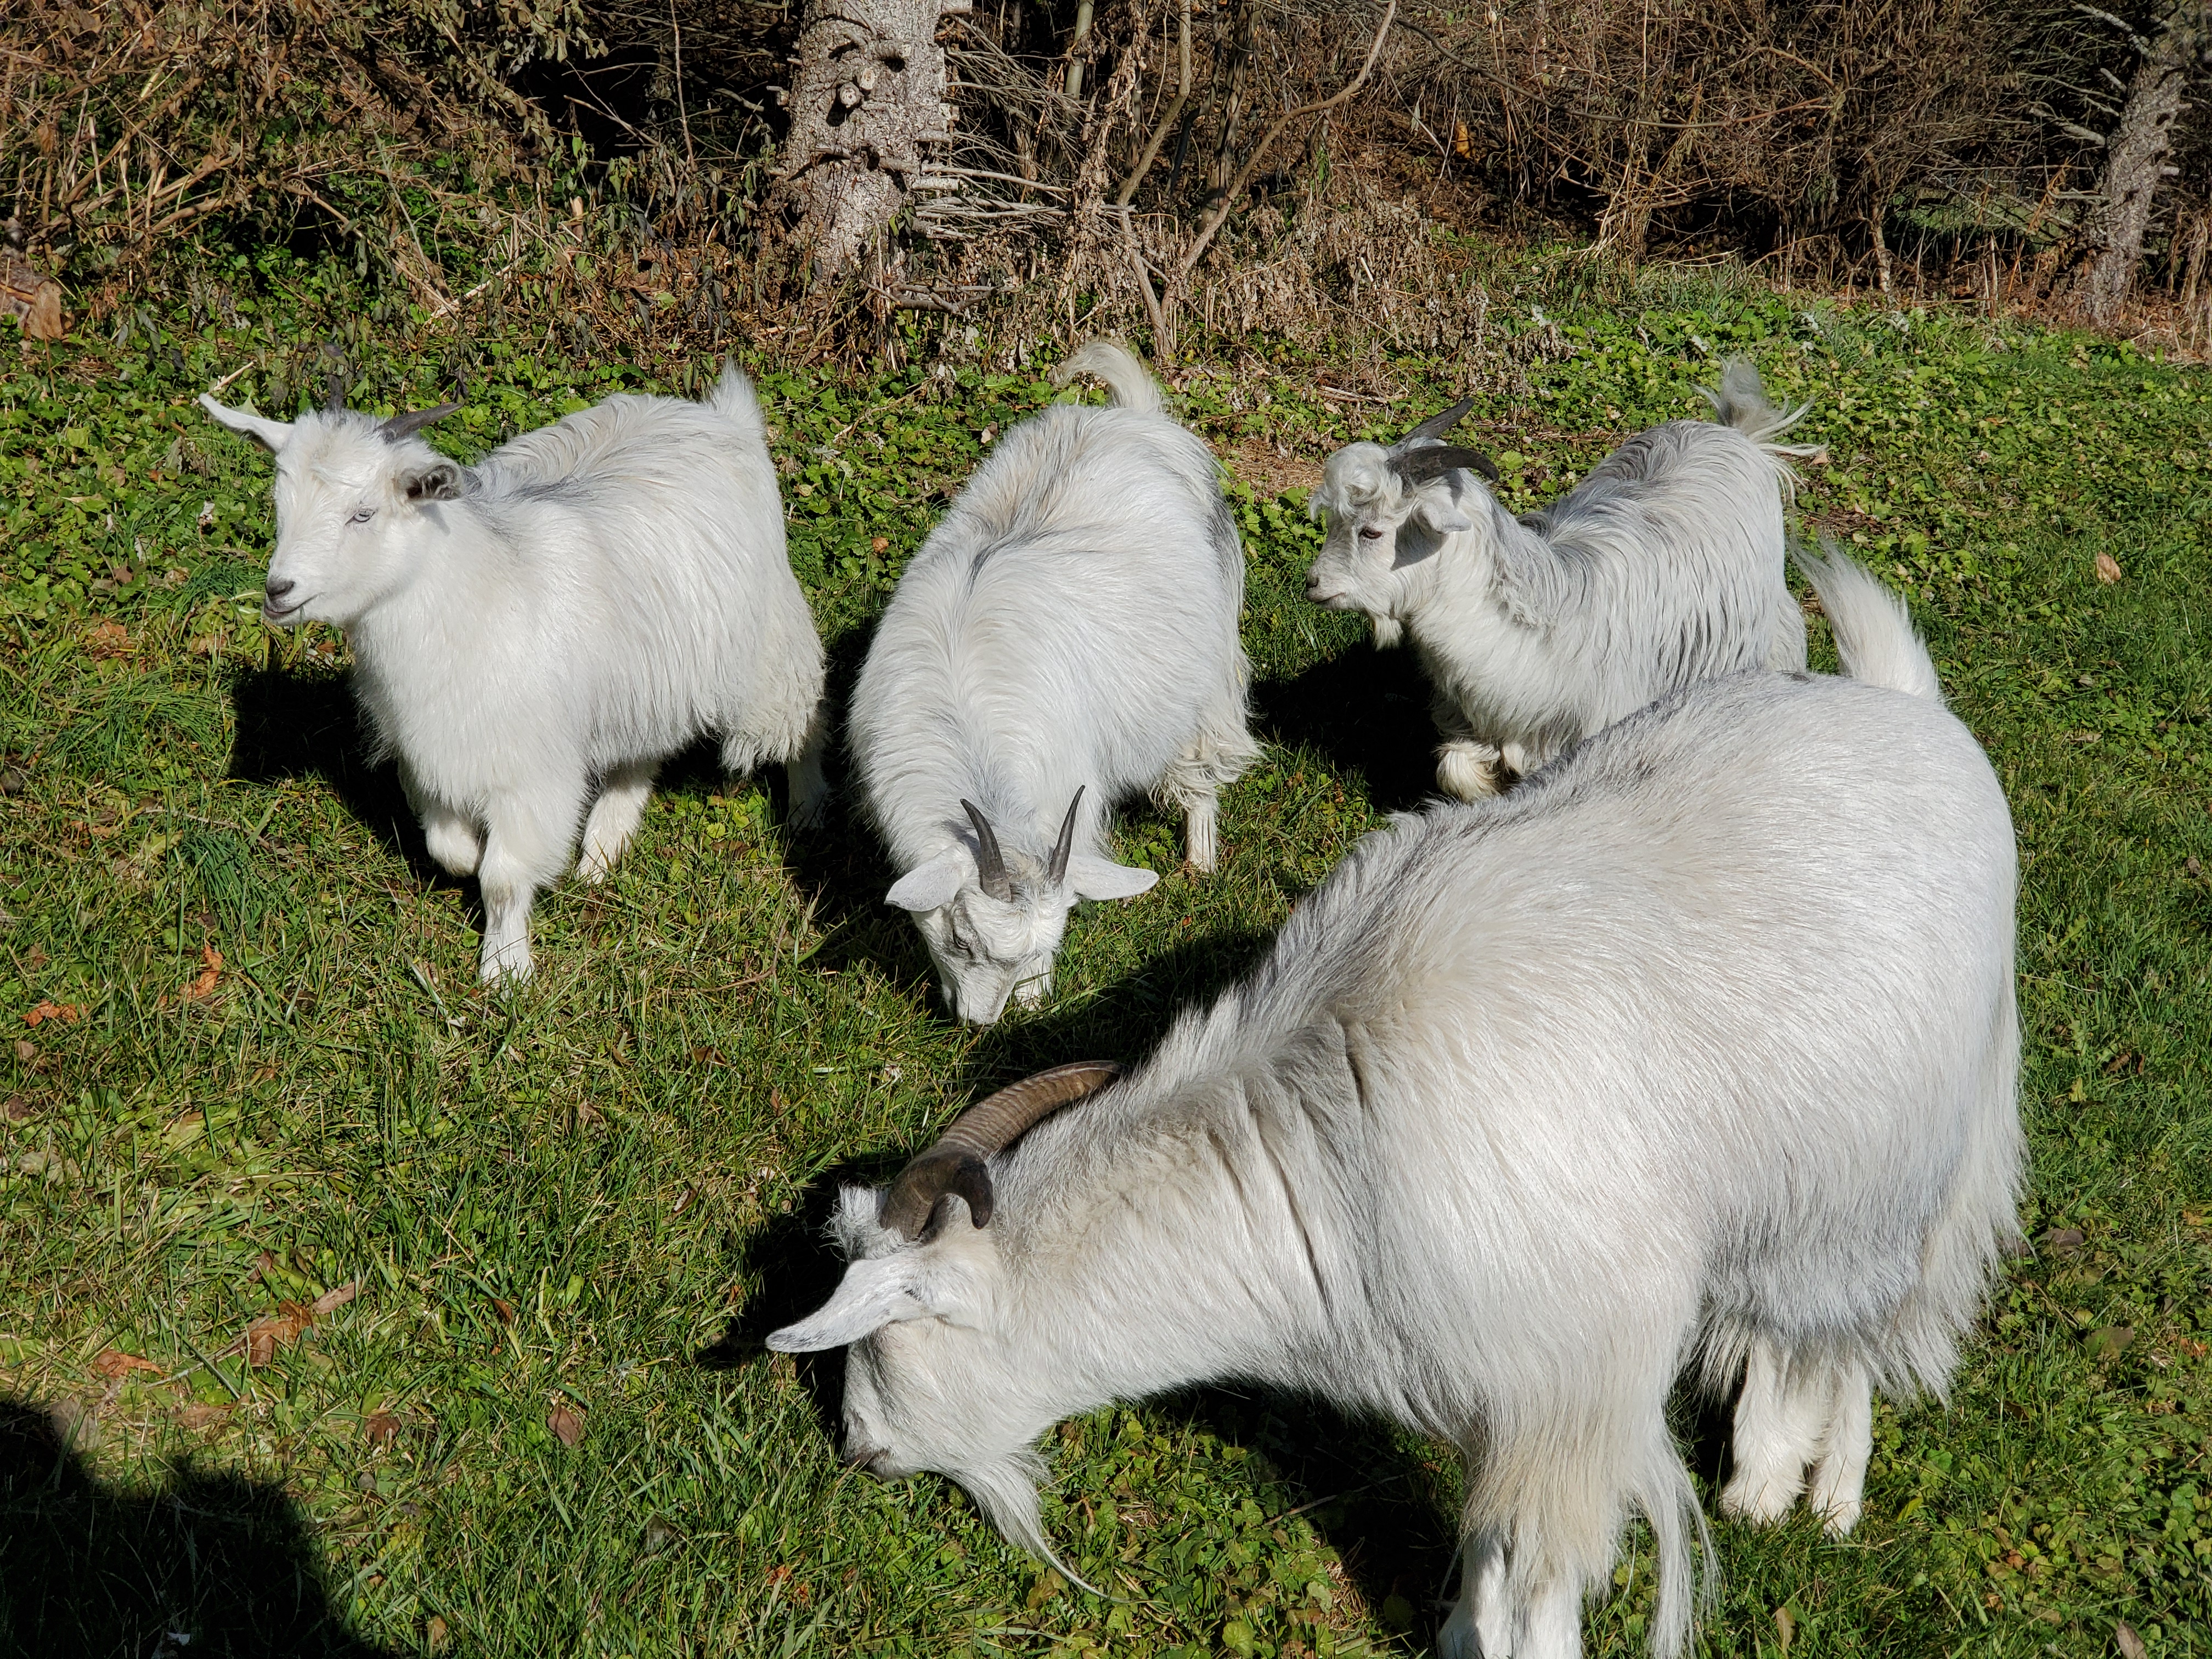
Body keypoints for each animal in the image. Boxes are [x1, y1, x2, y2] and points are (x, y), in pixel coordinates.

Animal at [201, 367, 828, 984]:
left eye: (364, 512)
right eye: (281, 503)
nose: (279, 592)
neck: (477, 597)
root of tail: (723, 415)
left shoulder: (531, 776)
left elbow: (502, 877)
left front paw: (506, 971)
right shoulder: (431, 758)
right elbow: (449, 849)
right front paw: (475, 869)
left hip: (770, 646)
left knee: (807, 718)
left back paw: (807, 811)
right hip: (645, 680)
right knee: (640, 754)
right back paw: (602, 849)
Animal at [774, 546, 2021, 1659]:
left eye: (875, 1335)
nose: (856, 1448)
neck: (1334, 1155)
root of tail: (1911, 713)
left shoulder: (1563, 1408)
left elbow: (1532, 1608)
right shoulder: (1482, 1399)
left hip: (1896, 1156)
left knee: (1861, 1320)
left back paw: (1809, 1485)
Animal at [848, 340, 1258, 1026]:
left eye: (1053, 941)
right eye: (959, 937)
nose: (978, 1025)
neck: (965, 717)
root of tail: (1135, 419)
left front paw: (1036, 1000)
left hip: (1210, 670)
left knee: (1202, 760)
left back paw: (1200, 862)